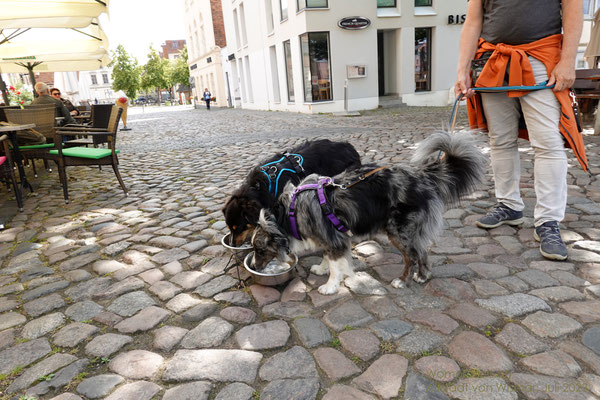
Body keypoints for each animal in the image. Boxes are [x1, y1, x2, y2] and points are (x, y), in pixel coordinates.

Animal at [251, 131, 486, 294]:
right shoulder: (330, 236)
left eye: (259, 250)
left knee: (411, 255)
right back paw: (422, 276)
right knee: (422, 251)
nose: (252, 265)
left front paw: (330, 286)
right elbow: (327, 256)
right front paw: (322, 268)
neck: (288, 212)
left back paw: (403, 280)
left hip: (398, 232)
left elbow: (336, 265)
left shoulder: (333, 239)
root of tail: (422, 176)